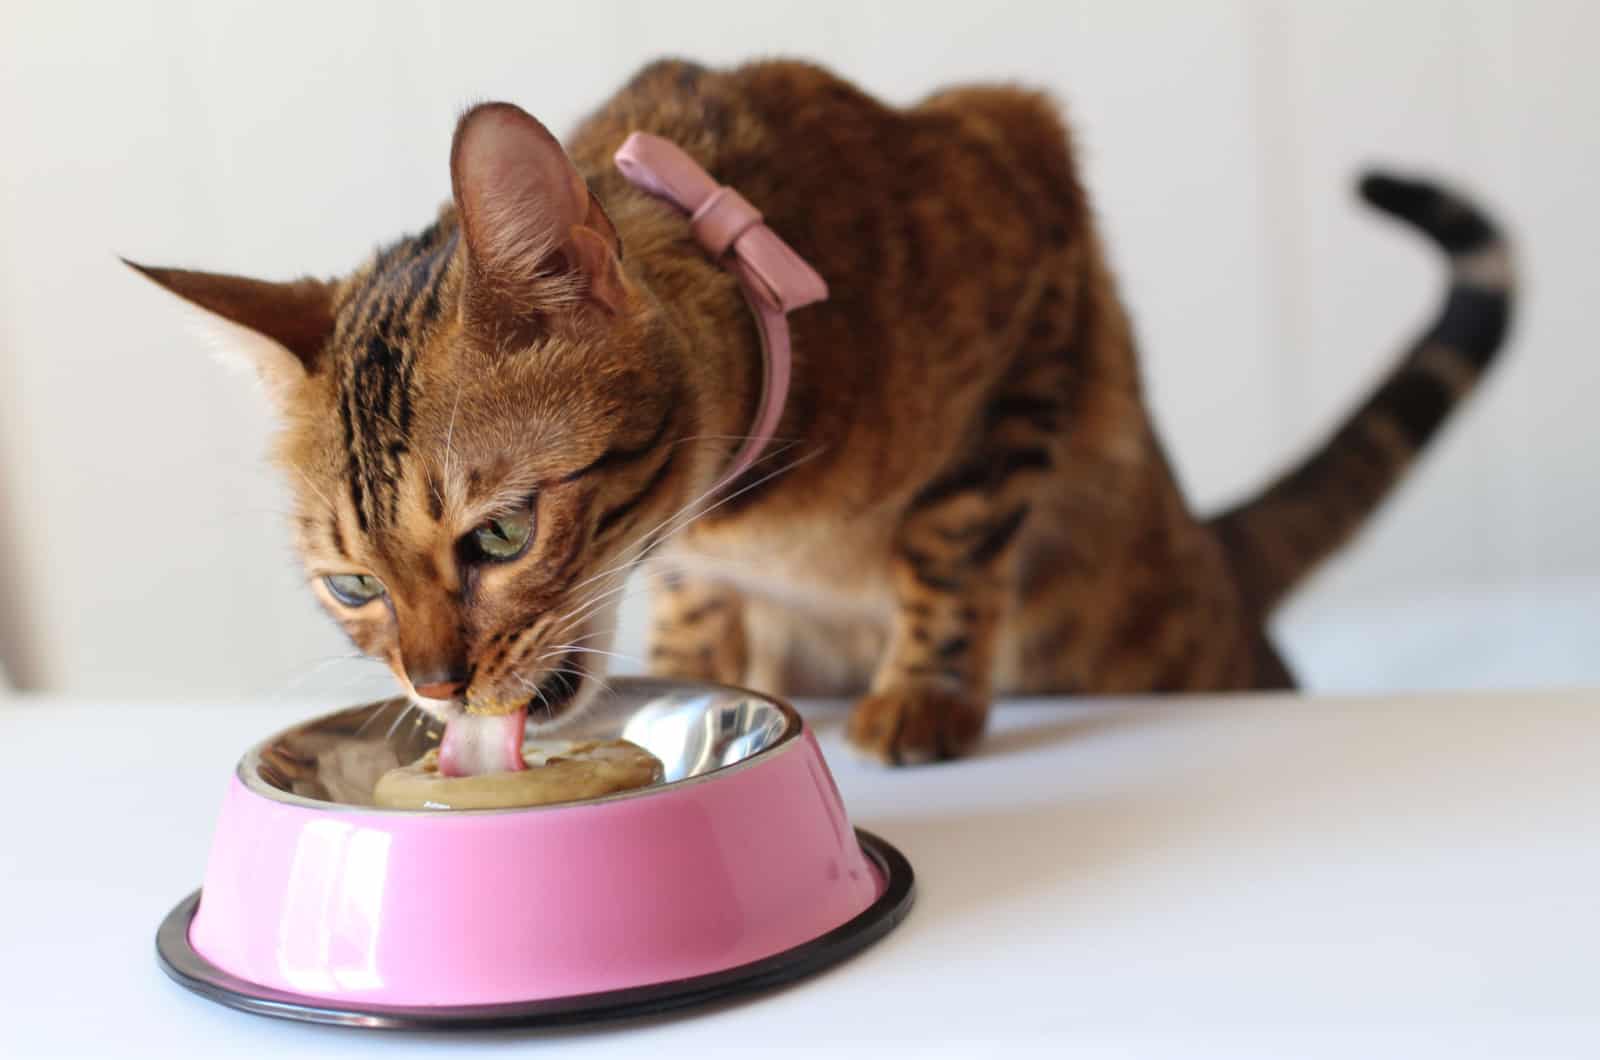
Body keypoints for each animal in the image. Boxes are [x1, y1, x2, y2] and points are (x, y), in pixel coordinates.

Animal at [128, 58, 1510, 765]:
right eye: (352, 586)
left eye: (502, 535)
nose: (433, 684)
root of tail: (1217, 553)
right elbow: (702, 610)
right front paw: (700, 663)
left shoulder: (1029, 192)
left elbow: (950, 536)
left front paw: (924, 692)